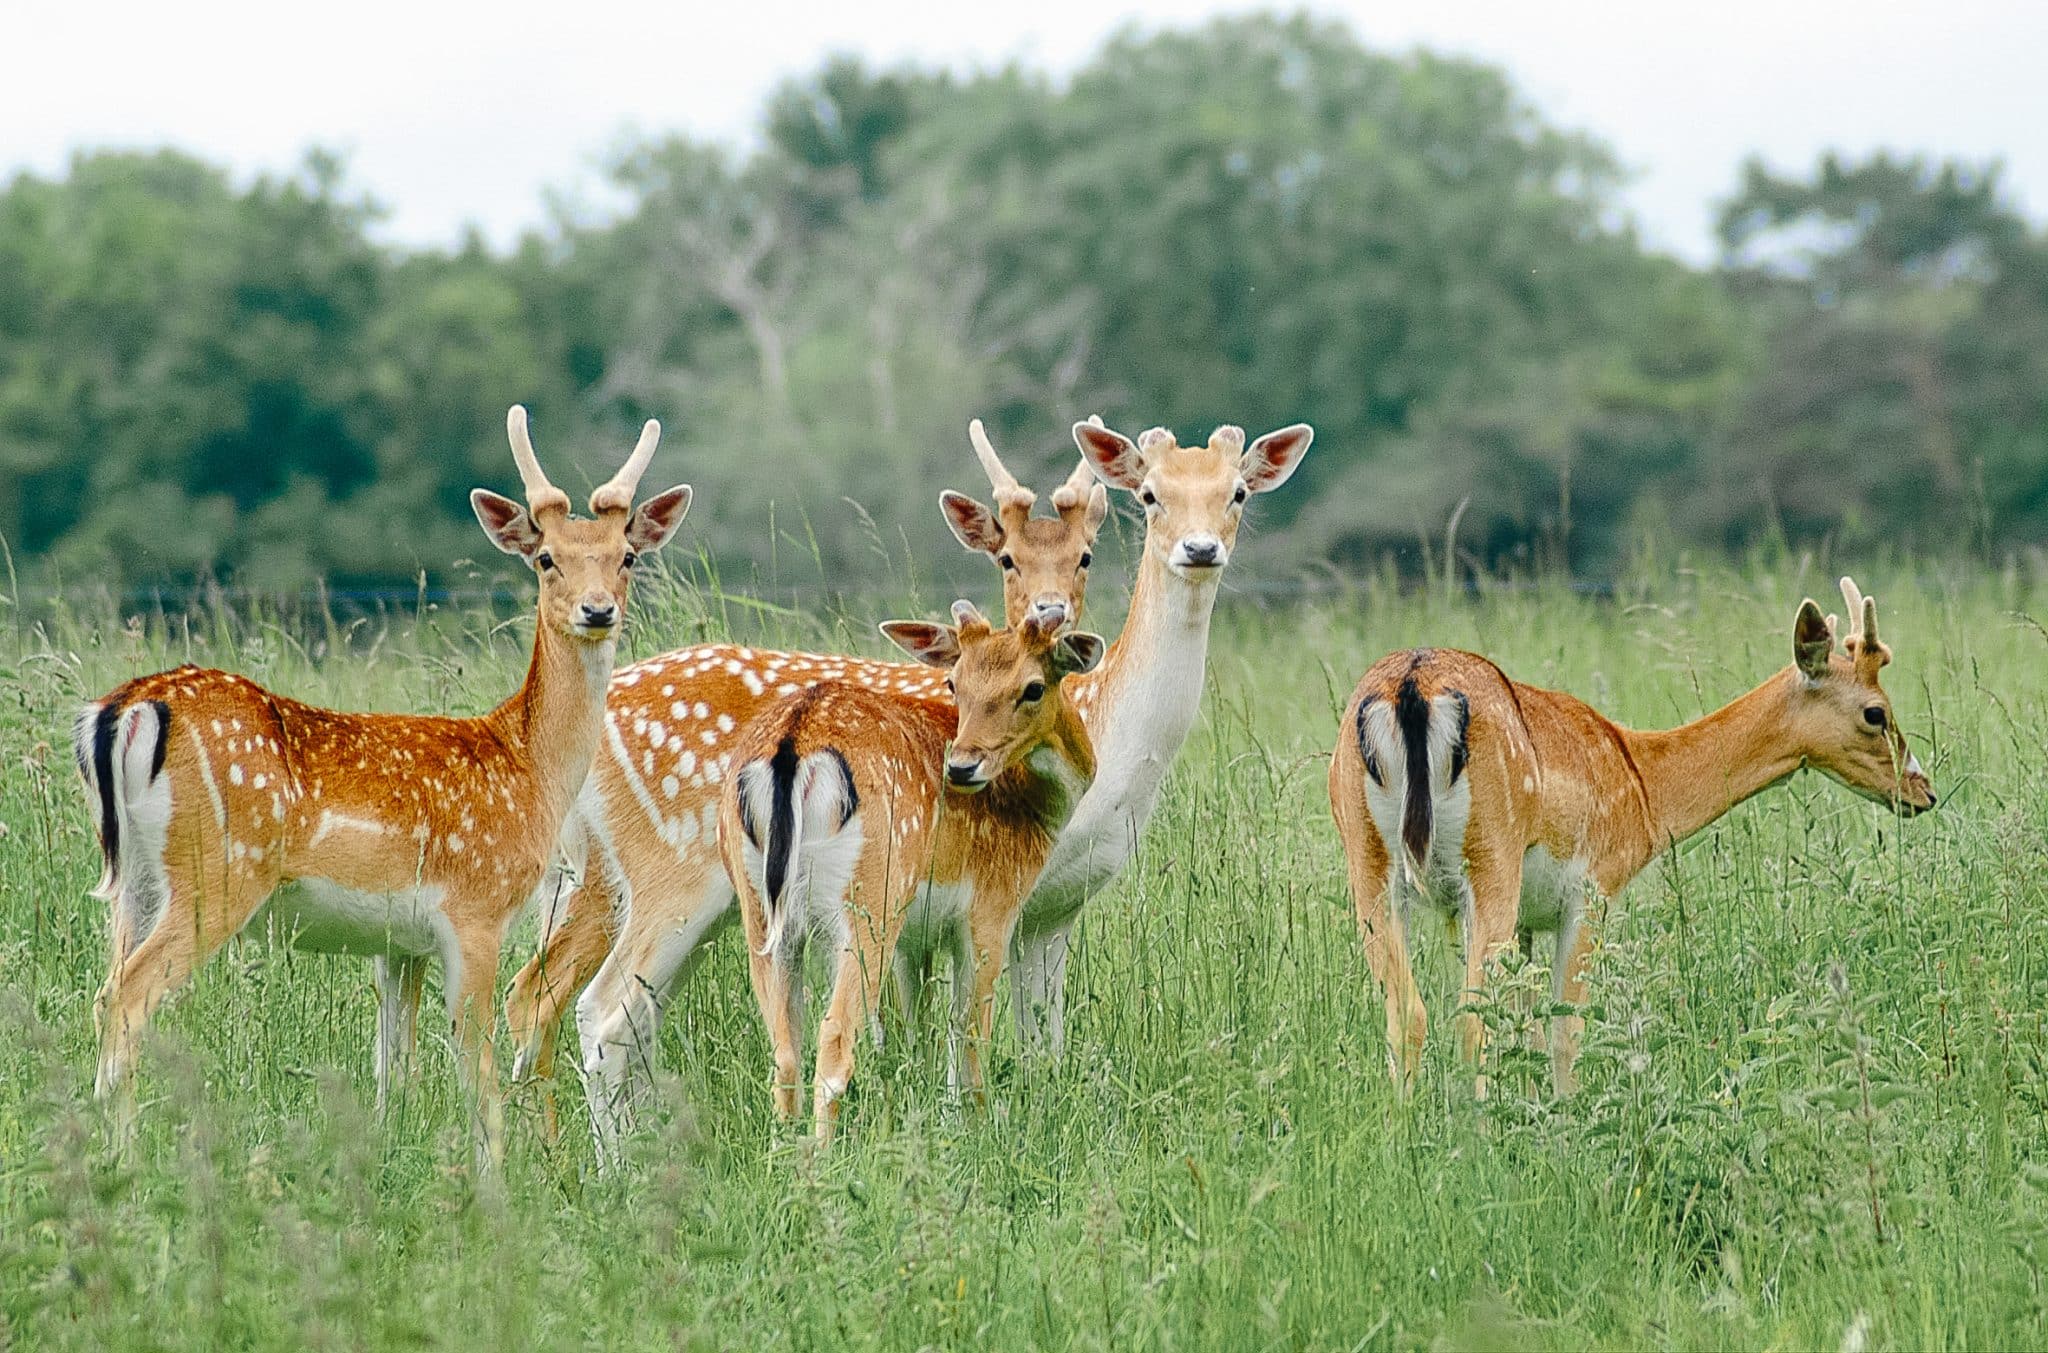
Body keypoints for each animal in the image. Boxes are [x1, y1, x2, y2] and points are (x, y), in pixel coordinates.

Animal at [74, 403, 696, 1154]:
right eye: (546, 557)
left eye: (625, 556)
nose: (598, 609)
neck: (527, 766)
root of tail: (124, 709)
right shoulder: (475, 910)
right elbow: (476, 1072)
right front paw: (497, 1174)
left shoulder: (400, 943)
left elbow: (392, 1072)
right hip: (218, 872)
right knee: (126, 997)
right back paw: (124, 1155)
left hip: (133, 882)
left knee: (108, 987)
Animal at [720, 597, 1105, 1138]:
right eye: (954, 683)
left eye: (1033, 687)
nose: (961, 766)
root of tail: (794, 744)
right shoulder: (993, 904)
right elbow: (968, 1032)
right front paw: (977, 1127)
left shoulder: (916, 937)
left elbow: (917, 1032)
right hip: (870, 901)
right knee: (833, 1042)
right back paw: (822, 1156)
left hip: (759, 906)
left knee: (784, 1048)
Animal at [1327, 577, 1933, 1097]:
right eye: (1875, 713)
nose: (1922, 790)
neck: (1641, 786)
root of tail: (1411, 689)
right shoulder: (1594, 885)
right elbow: (1564, 1028)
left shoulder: (1528, 919)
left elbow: (1528, 1024)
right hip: (1491, 855)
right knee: (1471, 1015)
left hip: (1369, 861)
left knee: (1408, 1012)